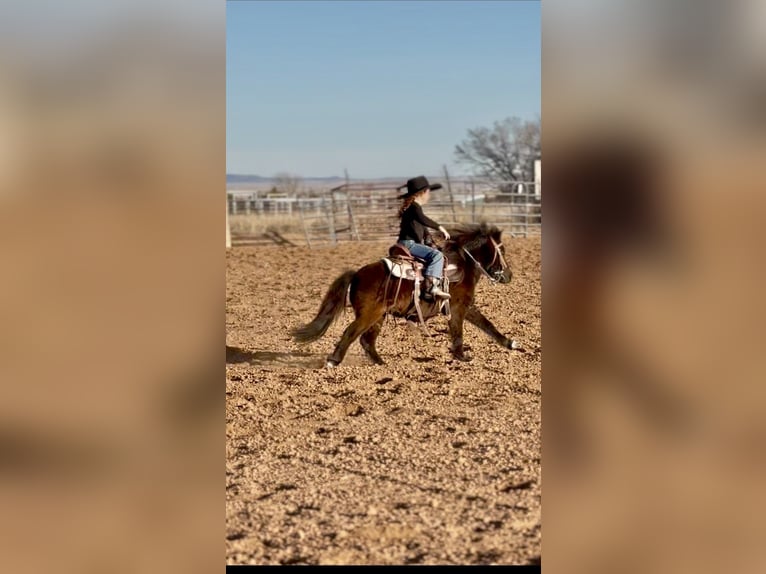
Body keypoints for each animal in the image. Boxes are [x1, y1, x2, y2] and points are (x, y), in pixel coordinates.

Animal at [290, 222, 522, 368]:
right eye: (502, 251)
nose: (508, 275)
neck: (462, 264)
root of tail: (356, 274)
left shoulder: (467, 306)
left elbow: (487, 325)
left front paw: (510, 343)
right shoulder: (459, 307)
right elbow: (459, 330)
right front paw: (461, 356)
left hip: (377, 317)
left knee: (366, 340)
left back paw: (381, 363)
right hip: (369, 314)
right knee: (351, 333)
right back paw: (333, 361)